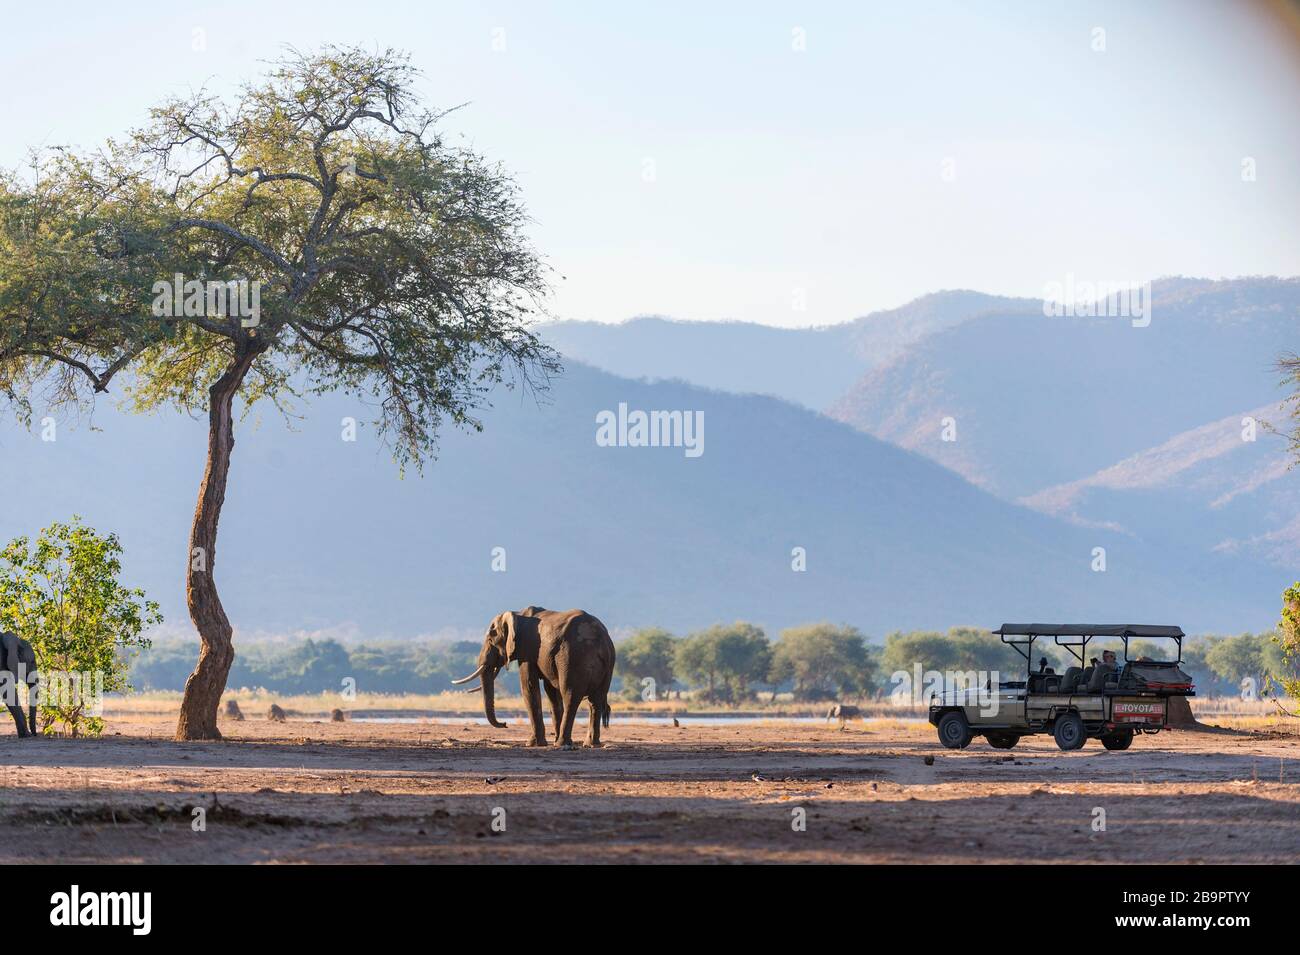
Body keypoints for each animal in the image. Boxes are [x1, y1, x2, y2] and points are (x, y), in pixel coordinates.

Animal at [452, 608, 613, 748]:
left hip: (572, 658)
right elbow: (551, 691)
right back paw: (590, 744)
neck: (517, 614)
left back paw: (563, 744)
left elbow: (528, 686)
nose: (505, 723)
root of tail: (598, 639)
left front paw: (532, 744)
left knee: (570, 695)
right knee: (596, 701)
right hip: (606, 665)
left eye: (491, 640)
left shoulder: (527, 650)